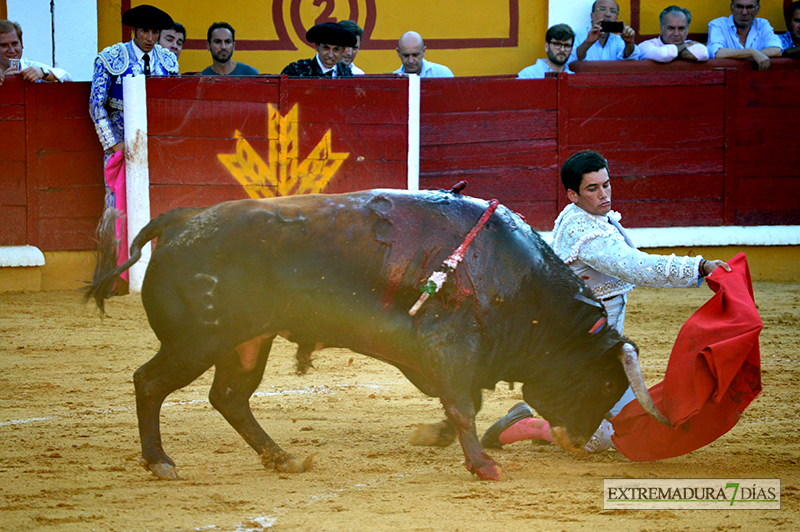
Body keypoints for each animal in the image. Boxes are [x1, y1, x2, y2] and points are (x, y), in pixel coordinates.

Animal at [86, 189, 664, 480]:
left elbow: (464, 402)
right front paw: (483, 465)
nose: (581, 442)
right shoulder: (451, 344)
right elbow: (463, 404)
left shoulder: (456, 355)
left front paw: (437, 437)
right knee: (150, 382)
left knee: (229, 396)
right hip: (196, 342)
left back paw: (282, 458)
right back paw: (161, 462)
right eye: (604, 382)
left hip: (246, 342)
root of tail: (183, 220)